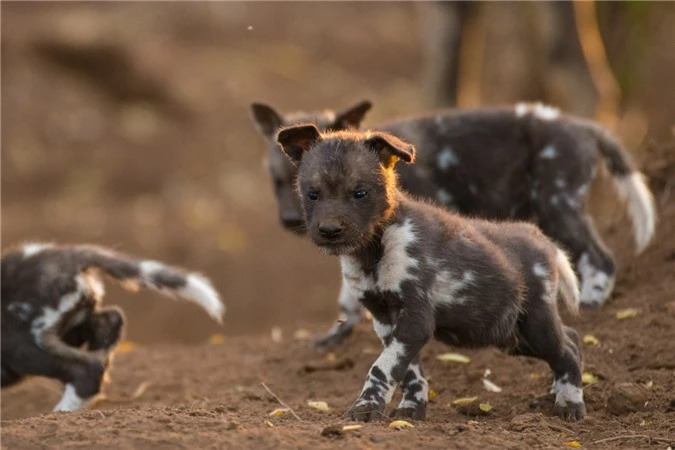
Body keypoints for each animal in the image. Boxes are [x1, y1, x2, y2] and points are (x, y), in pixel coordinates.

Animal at [0, 243, 227, 412]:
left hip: (21, 344)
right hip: (71, 325)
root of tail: (66, 256)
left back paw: (61, 412)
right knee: (110, 321)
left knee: (86, 368)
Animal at [252, 101, 656, 348]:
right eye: (281, 182)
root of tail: (583, 125)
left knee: (601, 258)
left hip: (556, 204)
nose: (291, 221)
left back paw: (591, 303)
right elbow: (350, 296)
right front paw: (338, 333)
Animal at [278, 125, 588, 422]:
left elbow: (381, 368)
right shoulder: (386, 320)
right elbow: (409, 373)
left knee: (566, 352)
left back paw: (570, 404)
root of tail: (543, 239)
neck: (372, 252)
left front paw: (366, 410)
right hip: (510, 336)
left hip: (535, 328)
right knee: (571, 338)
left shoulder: (416, 320)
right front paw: (411, 410)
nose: (329, 230)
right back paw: (560, 391)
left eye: (360, 193)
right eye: (313, 194)